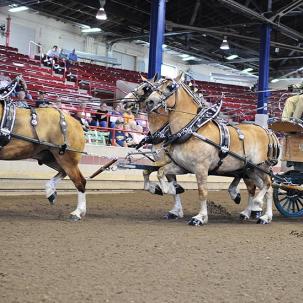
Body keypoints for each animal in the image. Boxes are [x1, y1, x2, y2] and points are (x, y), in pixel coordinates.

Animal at [144, 73, 280, 226]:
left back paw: (261, 210)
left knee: (268, 185)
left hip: (260, 166)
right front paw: (170, 189)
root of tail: (266, 131)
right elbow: (160, 172)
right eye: (152, 88)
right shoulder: (181, 166)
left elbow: (202, 192)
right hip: (250, 170)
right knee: (264, 187)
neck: (192, 130)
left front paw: (200, 217)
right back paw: (261, 215)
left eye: (170, 87)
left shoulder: (201, 168)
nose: (150, 102)